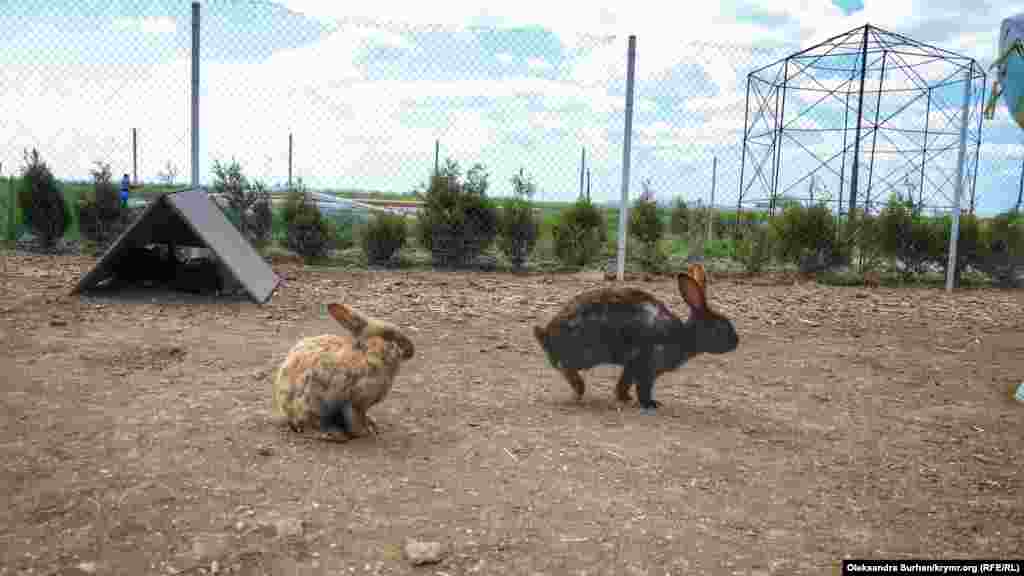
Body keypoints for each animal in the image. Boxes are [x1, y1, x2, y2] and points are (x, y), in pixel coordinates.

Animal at [274, 303, 417, 436]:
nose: (411, 351)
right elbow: (356, 418)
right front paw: (363, 432)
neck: (369, 353)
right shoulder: (356, 402)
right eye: (390, 335)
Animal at [536, 260, 737, 412]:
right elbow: (643, 388)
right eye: (720, 327)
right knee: (564, 366)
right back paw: (579, 389)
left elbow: (624, 383)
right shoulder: (646, 366)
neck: (683, 337)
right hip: (584, 354)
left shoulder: (632, 366)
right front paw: (650, 404)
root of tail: (546, 335)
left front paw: (624, 397)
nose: (736, 342)